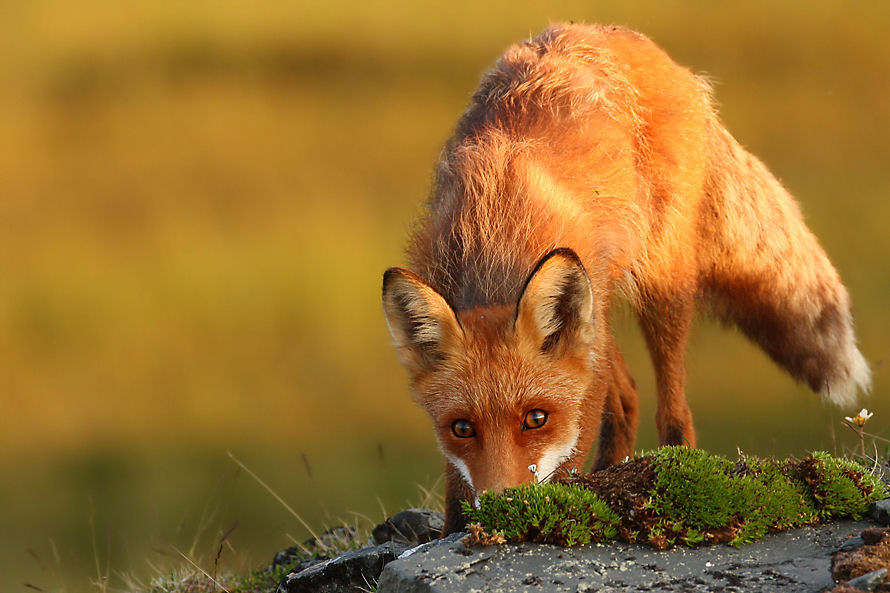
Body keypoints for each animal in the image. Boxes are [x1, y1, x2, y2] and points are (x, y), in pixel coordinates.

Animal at [380, 23, 868, 536]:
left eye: (536, 418)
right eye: (461, 428)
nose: (502, 505)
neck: (494, 245)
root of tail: (631, 41)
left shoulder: (581, 372)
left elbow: (570, 451)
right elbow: (457, 482)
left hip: (658, 287)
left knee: (672, 407)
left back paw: (674, 467)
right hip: (596, 313)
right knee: (629, 396)